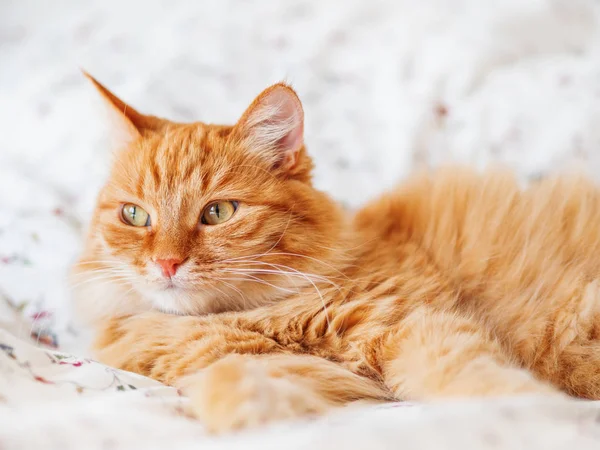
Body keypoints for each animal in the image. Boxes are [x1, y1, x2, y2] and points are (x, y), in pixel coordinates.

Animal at [74, 74, 600, 436]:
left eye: (218, 212)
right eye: (134, 215)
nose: (166, 263)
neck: (256, 313)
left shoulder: (416, 325)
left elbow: (472, 379)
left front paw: (539, 417)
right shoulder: (311, 372)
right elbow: (231, 380)